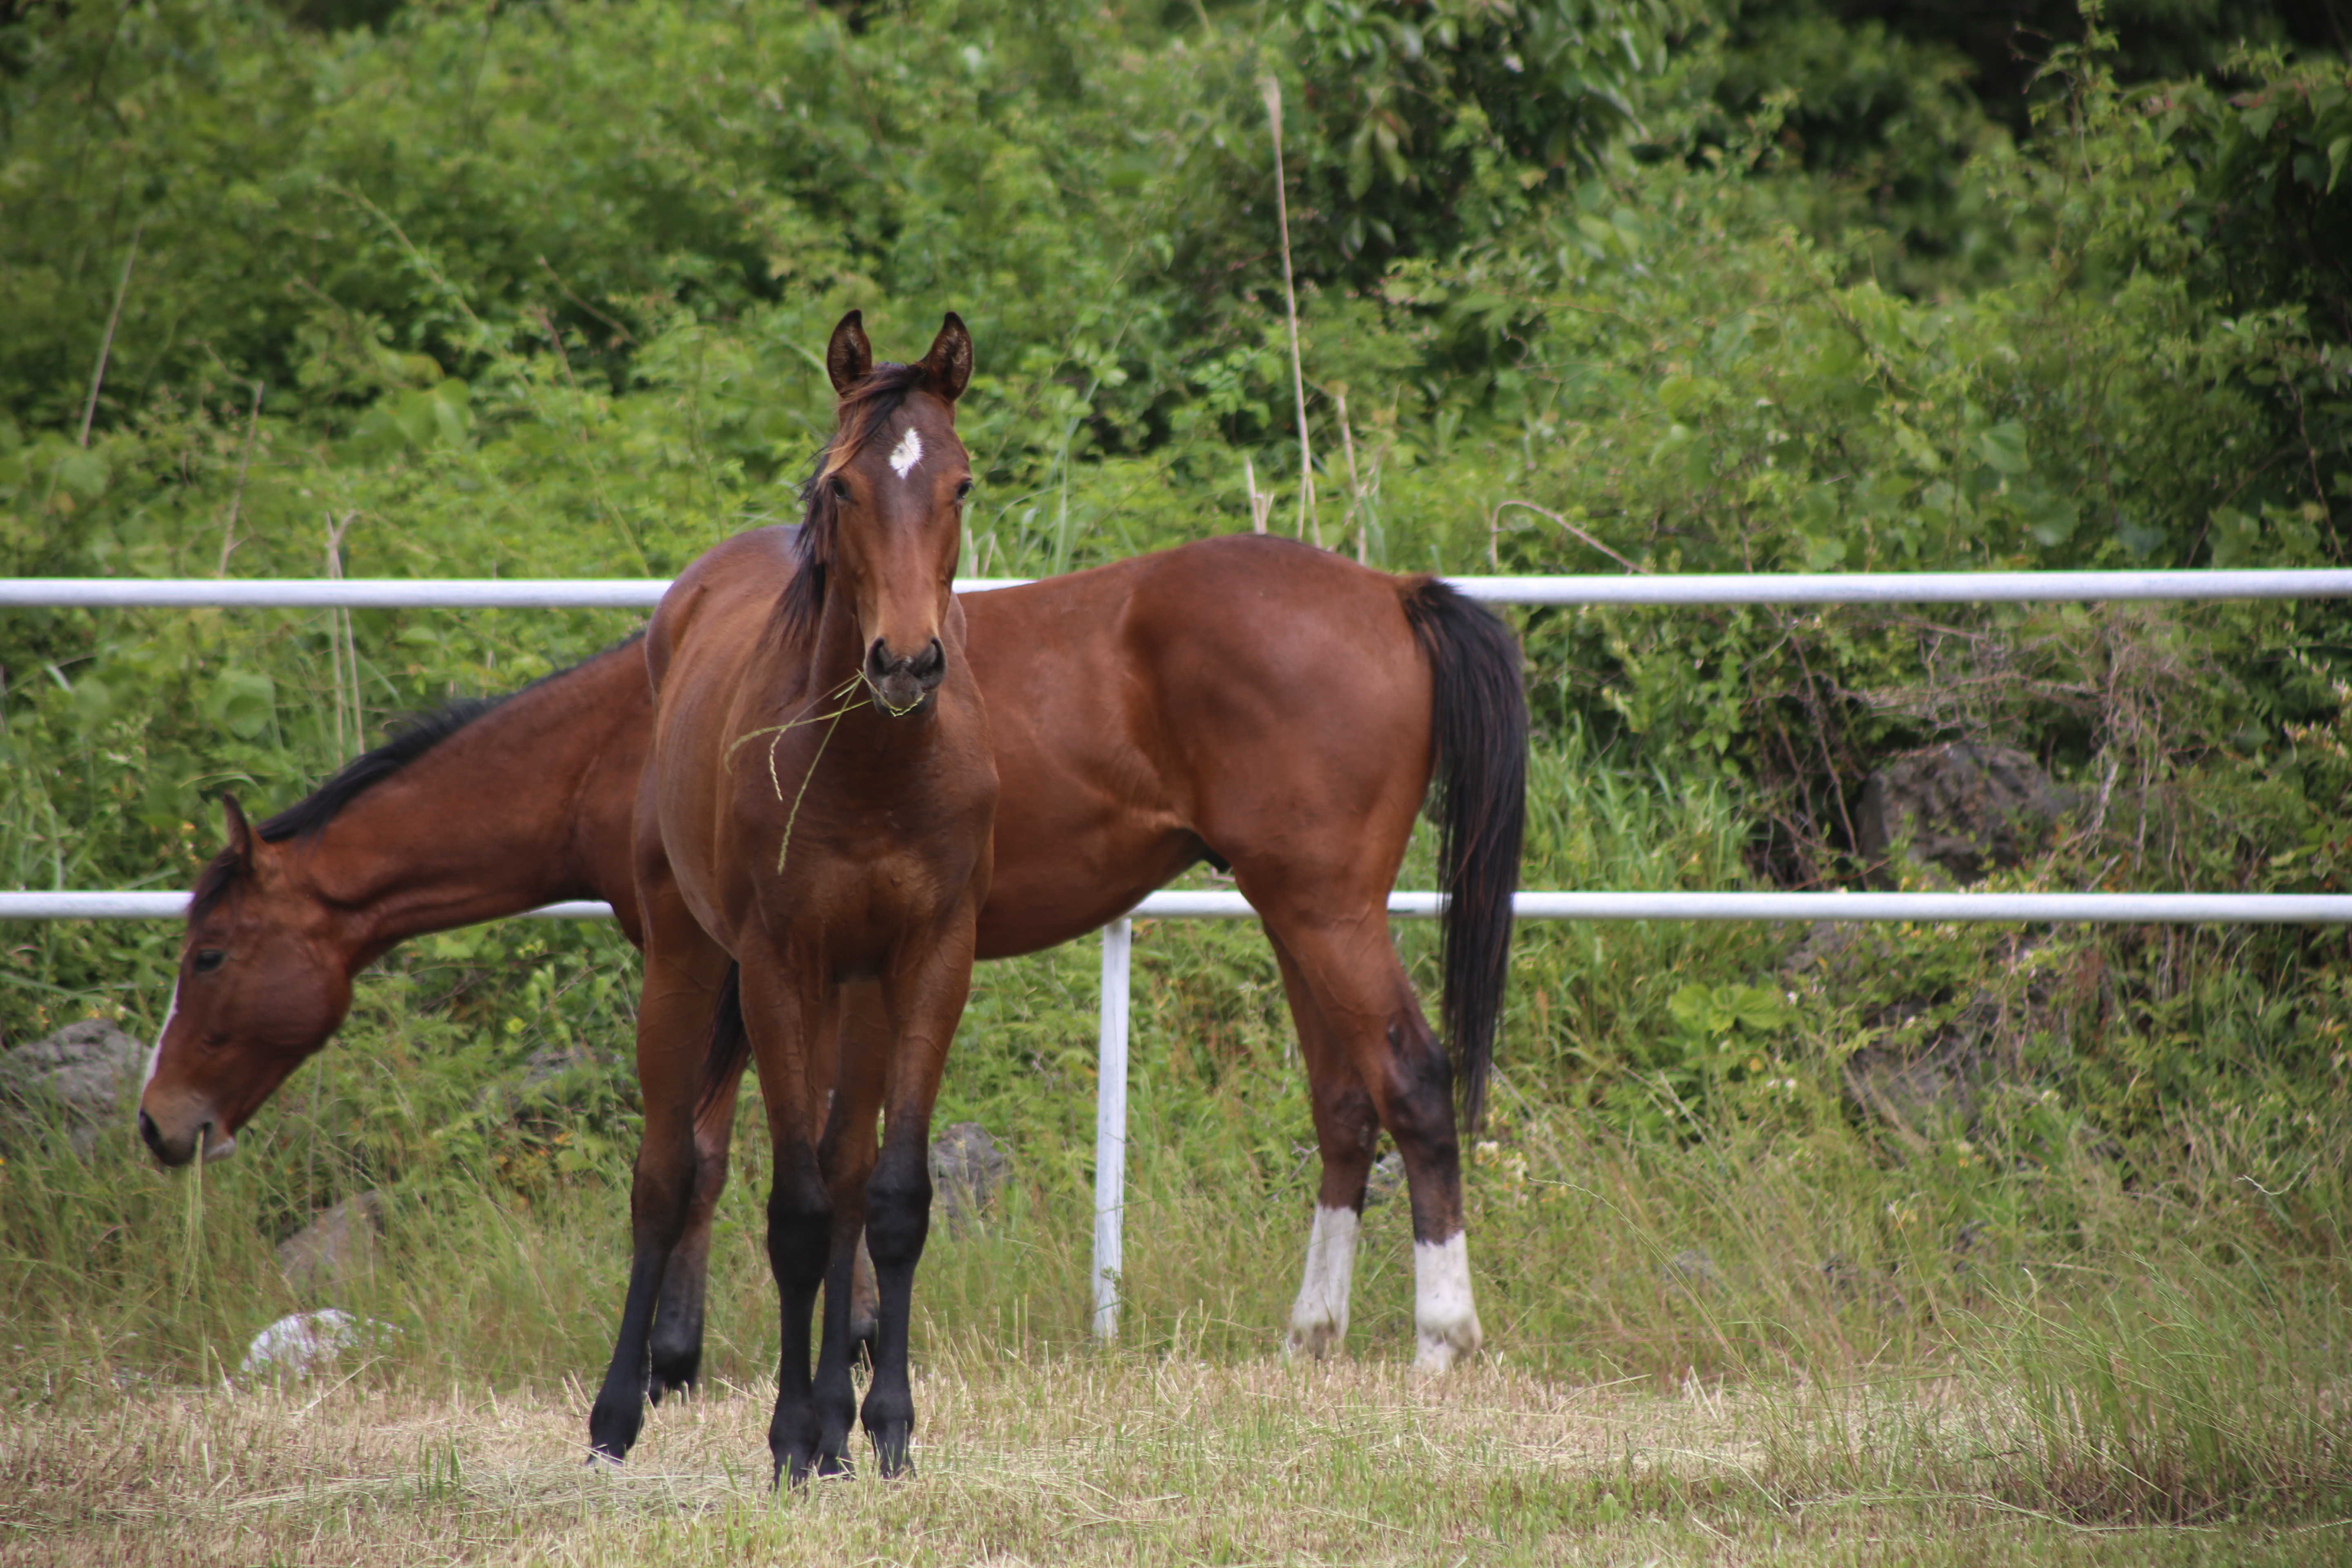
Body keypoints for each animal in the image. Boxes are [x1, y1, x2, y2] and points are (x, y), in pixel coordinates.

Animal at [137, 463, 1524, 1410]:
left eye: (210, 956)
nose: (161, 1124)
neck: (637, 730)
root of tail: (1388, 593)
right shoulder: (827, 961)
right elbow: (836, 1145)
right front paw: (842, 1346)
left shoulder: (719, 963)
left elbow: (708, 1154)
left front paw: (682, 1360)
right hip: (1293, 912)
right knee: (1344, 1107)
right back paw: (1312, 1335)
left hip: (1324, 910)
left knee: (1412, 1080)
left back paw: (1443, 1338)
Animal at [607, 312, 992, 1476]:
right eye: (841, 487)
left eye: (960, 484)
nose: (906, 660)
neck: (874, 769)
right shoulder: (778, 969)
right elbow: (796, 1212)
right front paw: (787, 1437)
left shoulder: (930, 960)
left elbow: (888, 1196)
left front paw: (884, 1425)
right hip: (691, 962)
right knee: (666, 1171)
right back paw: (616, 1414)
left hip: (854, 995)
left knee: (849, 1167)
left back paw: (836, 1419)